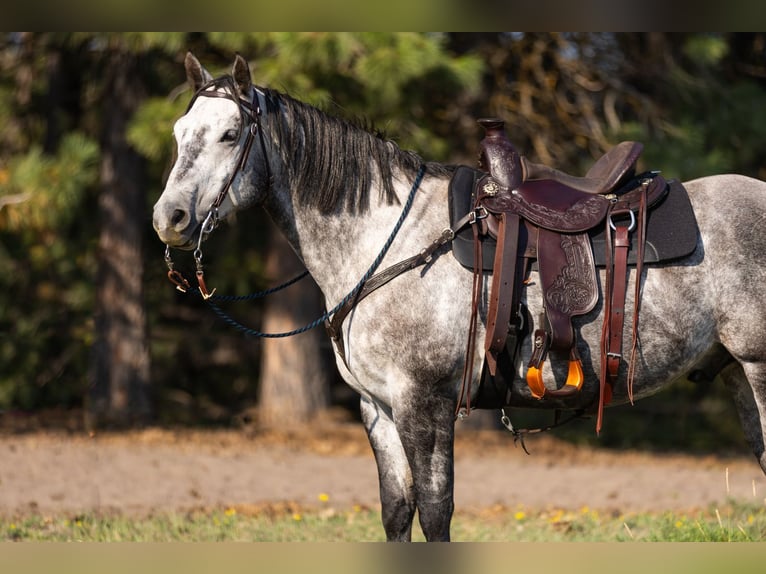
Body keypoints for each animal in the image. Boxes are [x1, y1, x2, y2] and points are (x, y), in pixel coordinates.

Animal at [153, 51, 766, 544]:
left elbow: (435, 512)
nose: (169, 218)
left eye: (230, 134)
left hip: (758, 368)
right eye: (180, 130)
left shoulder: (424, 403)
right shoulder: (378, 408)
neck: (387, 237)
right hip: (737, 373)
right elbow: (397, 512)